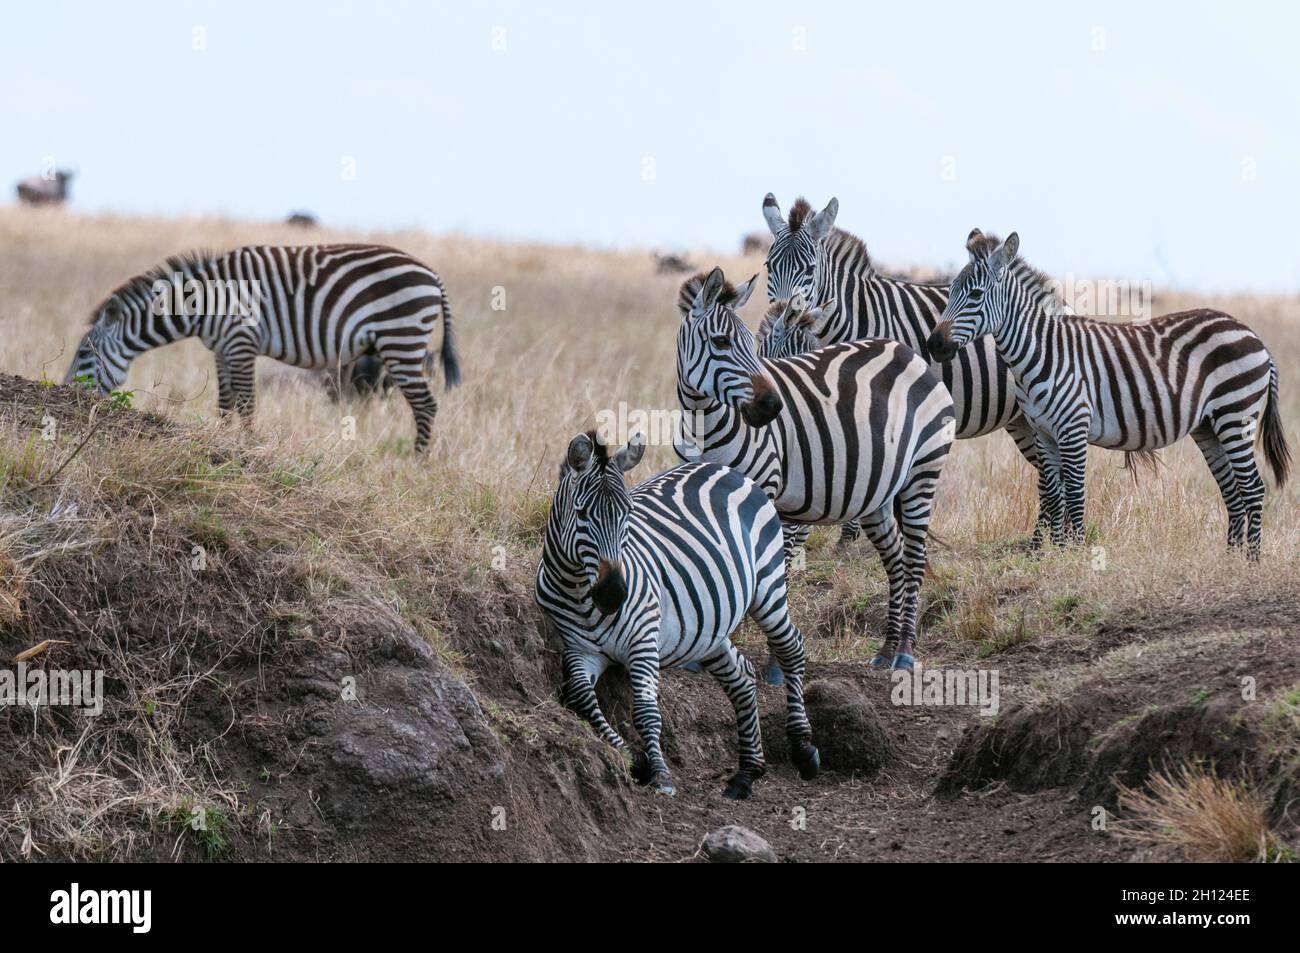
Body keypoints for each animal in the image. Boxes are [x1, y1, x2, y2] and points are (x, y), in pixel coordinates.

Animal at [63, 244, 459, 453]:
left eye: (84, 355)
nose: (66, 393)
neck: (201, 304)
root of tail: (432, 274)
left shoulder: (241, 341)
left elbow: (247, 404)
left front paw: (249, 446)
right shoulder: (222, 348)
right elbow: (225, 404)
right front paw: (221, 440)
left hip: (401, 339)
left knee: (426, 405)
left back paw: (418, 464)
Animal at [535, 430, 820, 799]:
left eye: (628, 513)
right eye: (582, 514)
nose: (614, 594)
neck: (577, 590)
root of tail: (724, 467)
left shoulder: (643, 641)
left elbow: (646, 711)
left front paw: (660, 774)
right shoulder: (579, 650)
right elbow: (580, 697)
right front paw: (636, 761)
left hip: (767, 587)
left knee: (792, 648)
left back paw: (803, 748)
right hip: (708, 627)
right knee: (742, 676)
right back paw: (746, 773)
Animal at [676, 267, 955, 671]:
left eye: (750, 344)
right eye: (721, 341)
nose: (772, 406)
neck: (707, 424)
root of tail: (907, 352)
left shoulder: (768, 491)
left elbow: (771, 569)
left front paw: (769, 656)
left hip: (923, 471)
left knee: (914, 558)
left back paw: (904, 651)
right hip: (877, 494)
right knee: (896, 560)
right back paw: (886, 650)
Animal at [761, 193, 1046, 539]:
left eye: (810, 268)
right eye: (769, 265)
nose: (783, 312)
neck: (853, 319)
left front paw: (851, 536)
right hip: (1020, 419)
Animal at [927, 230, 1291, 558]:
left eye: (975, 294)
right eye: (951, 291)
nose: (934, 344)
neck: (1042, 351)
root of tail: (1251, 333)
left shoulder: (1073, 427)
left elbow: (1074, 493)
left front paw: (1074, 555)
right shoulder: (1043, 431)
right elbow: (1053, 494)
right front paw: (1055, 555)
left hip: (1235, 414)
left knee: (1253, 488)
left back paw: (1252, 561)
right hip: (1209, 427)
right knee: (1232, 490)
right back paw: (1231, 559)